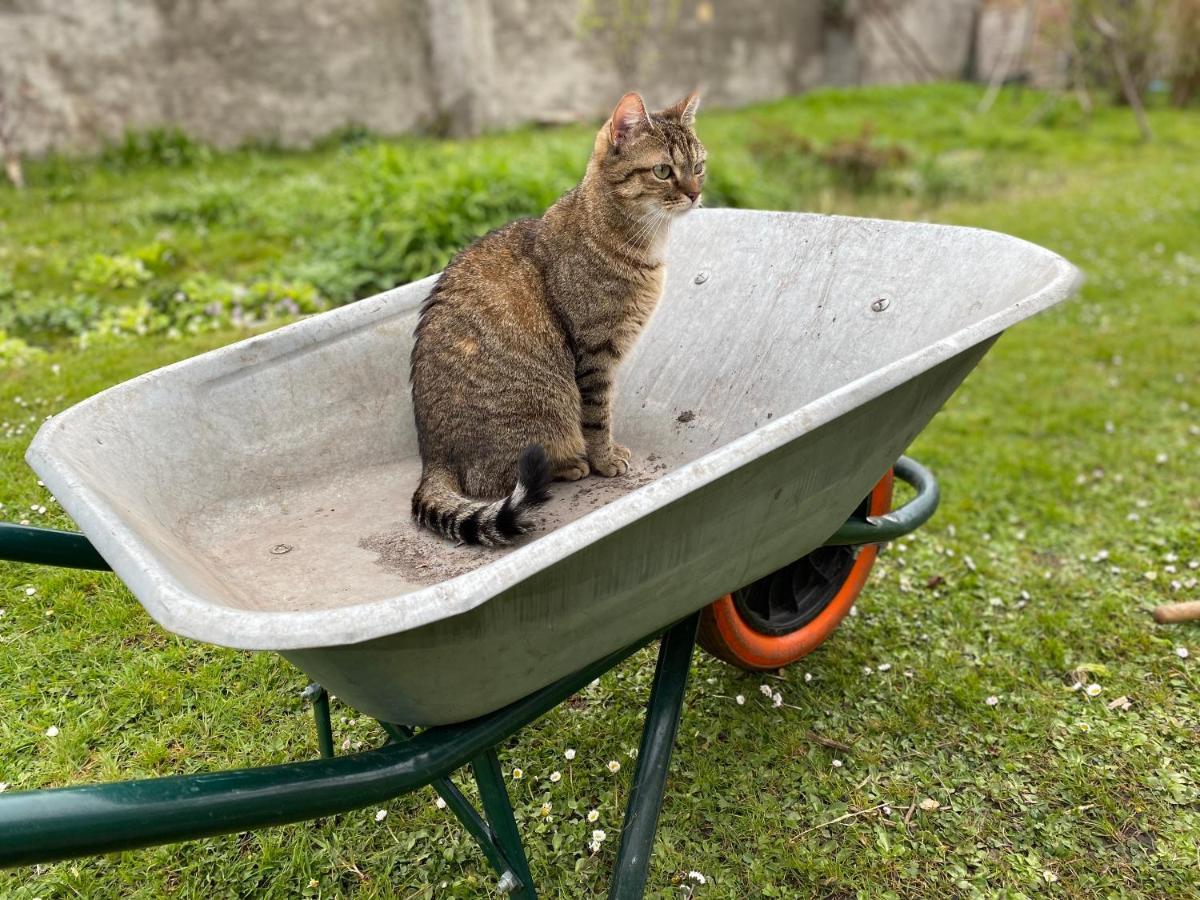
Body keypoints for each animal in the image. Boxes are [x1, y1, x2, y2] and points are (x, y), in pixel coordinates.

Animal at [410, 91, 700, 547]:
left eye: (699, 166)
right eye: (662, 171)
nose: (695, 193)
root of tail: (434, 457)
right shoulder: (595, 352)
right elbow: (597, 417)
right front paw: (605, 458)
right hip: (544, 409)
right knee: (496, 481)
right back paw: (568, 465)